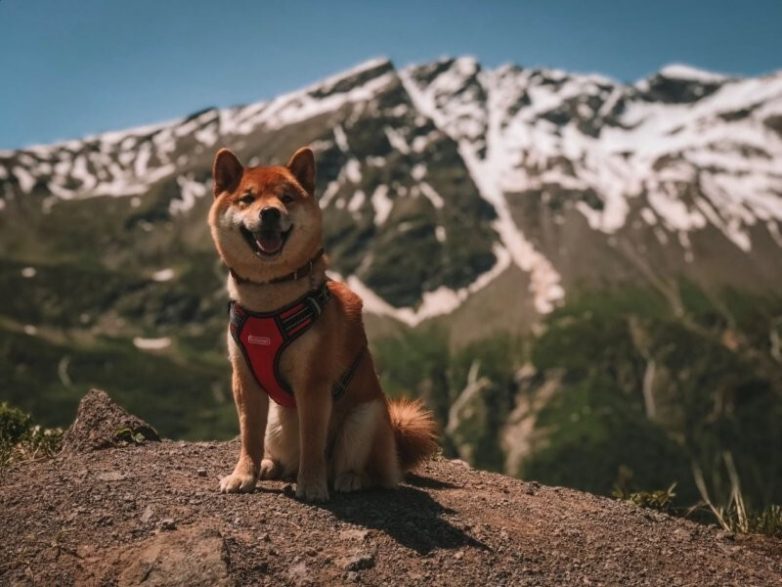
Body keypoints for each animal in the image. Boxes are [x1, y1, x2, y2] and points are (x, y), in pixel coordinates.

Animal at [208, 144, 440, 500]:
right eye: (247, 198)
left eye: (287, 197)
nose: (270, 213)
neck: (269, 300)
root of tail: (394, 449)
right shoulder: (245, 380)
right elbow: (249, 438)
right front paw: (243, 475)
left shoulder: (313, 383)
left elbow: (313, 441)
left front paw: (313, 485)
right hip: (277, 420)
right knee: (286, 457)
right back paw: (271, 466)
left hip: (365, 417)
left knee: (370, 472)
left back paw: (349, 479)